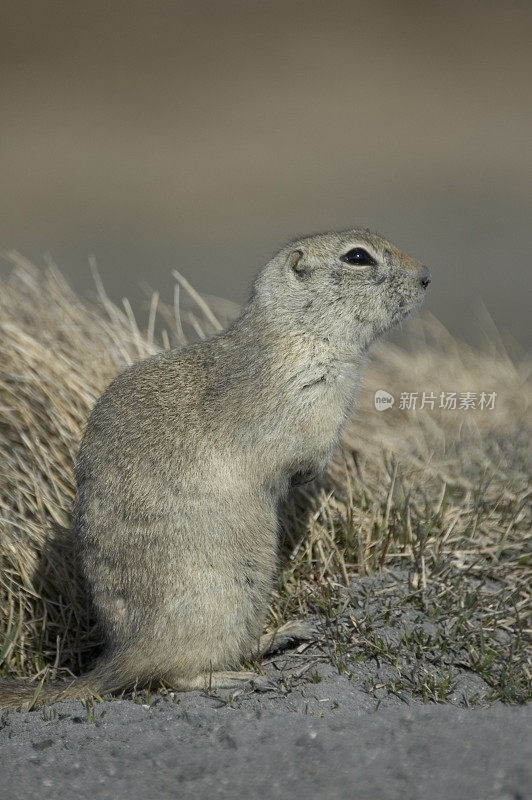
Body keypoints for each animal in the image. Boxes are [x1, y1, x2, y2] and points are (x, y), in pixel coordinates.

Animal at [0, 230, 430, 708]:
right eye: (358, 257)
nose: (426, 277)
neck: (297, 330)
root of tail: (121, 655)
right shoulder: (303, 406)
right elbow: (302, 453)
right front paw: (308, 474)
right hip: (224, 601)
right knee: (172, 675)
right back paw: (239, 676)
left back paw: (282, 635)